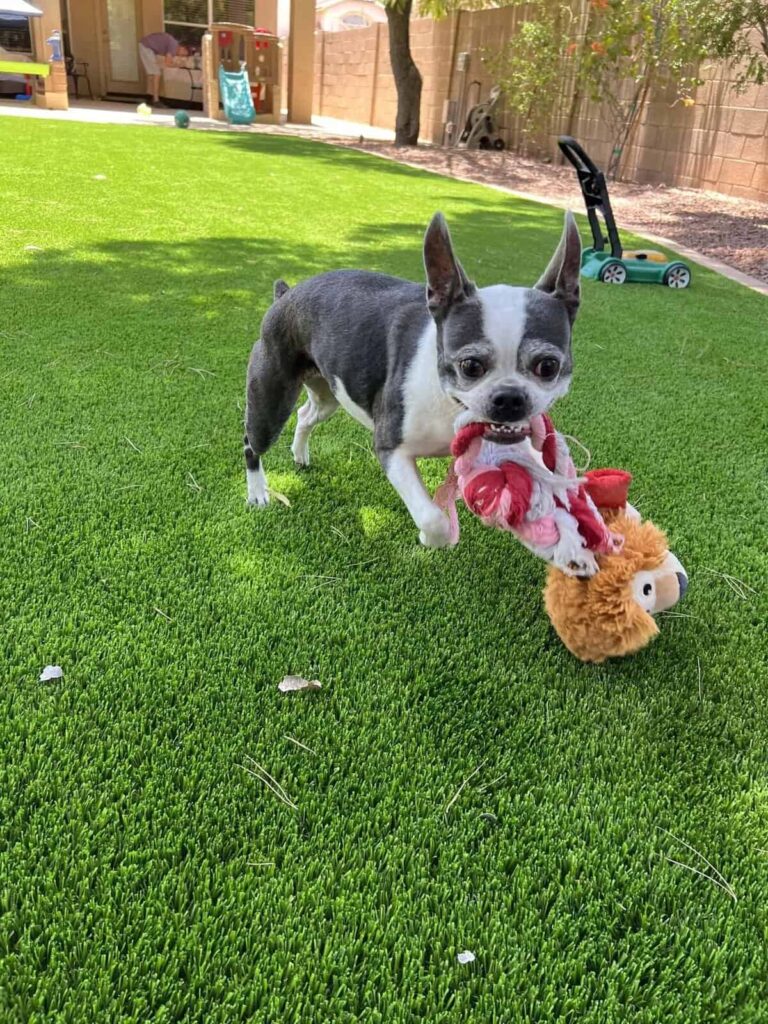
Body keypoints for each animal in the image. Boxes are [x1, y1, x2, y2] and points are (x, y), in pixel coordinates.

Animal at [244, 211, 581, 549]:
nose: (510, 397)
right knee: (252, 442)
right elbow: (433, 517)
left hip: (328, 394)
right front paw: (431, 537)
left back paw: (300, 454)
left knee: (305, 414)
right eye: (470, 366)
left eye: (548, 366)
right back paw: (258, 491)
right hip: (271, 401)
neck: (451, 404)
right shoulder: (391, 448)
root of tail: (286, 295)